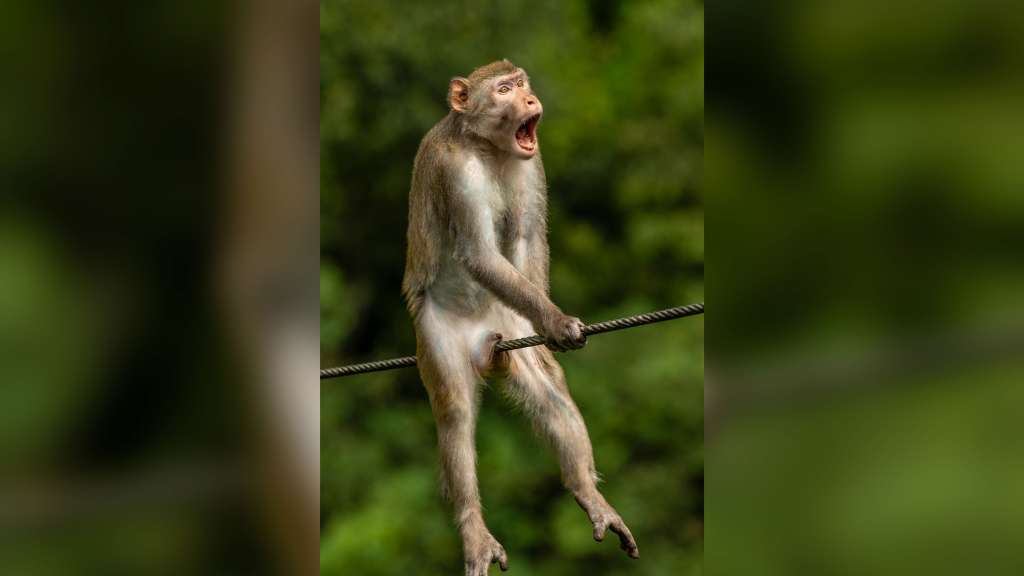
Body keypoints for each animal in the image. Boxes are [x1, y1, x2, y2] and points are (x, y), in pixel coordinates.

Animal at [403, 60, 639, 576]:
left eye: (523, 84)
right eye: (504, 89)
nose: (529, 100)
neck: (488, 148)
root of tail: (484, 341)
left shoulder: (534, 162)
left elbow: (529, 237)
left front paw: (549, 325)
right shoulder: (455, 171)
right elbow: (479, 254)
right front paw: (557, 322)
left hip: (508, 324)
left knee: (549, 392)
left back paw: (588, 494)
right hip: (437, 335)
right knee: (455, 410)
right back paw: (473, 528)